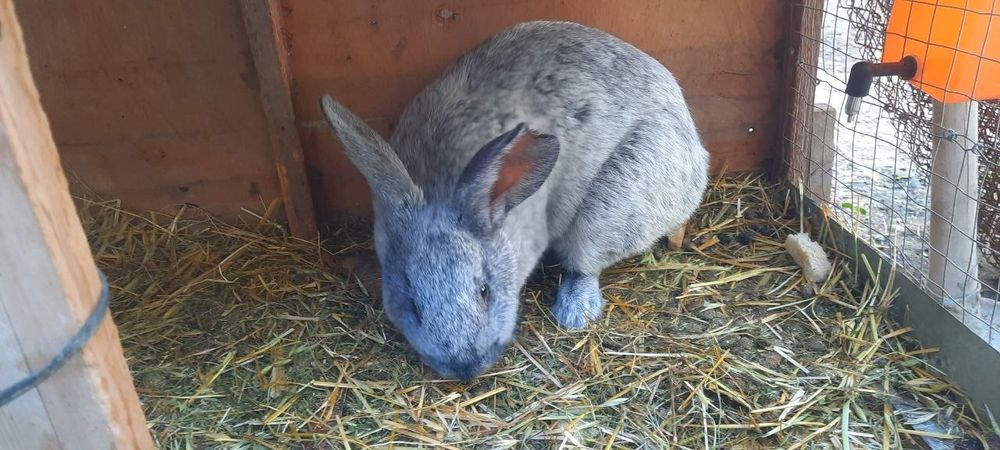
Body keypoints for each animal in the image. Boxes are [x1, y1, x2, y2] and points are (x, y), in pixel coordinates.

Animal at [320, 21, 709, 382]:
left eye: (485, 291)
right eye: (414, 304)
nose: (466, 369)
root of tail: (696, 157)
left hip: (613, 205)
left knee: (586, 264)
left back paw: (574, 310)